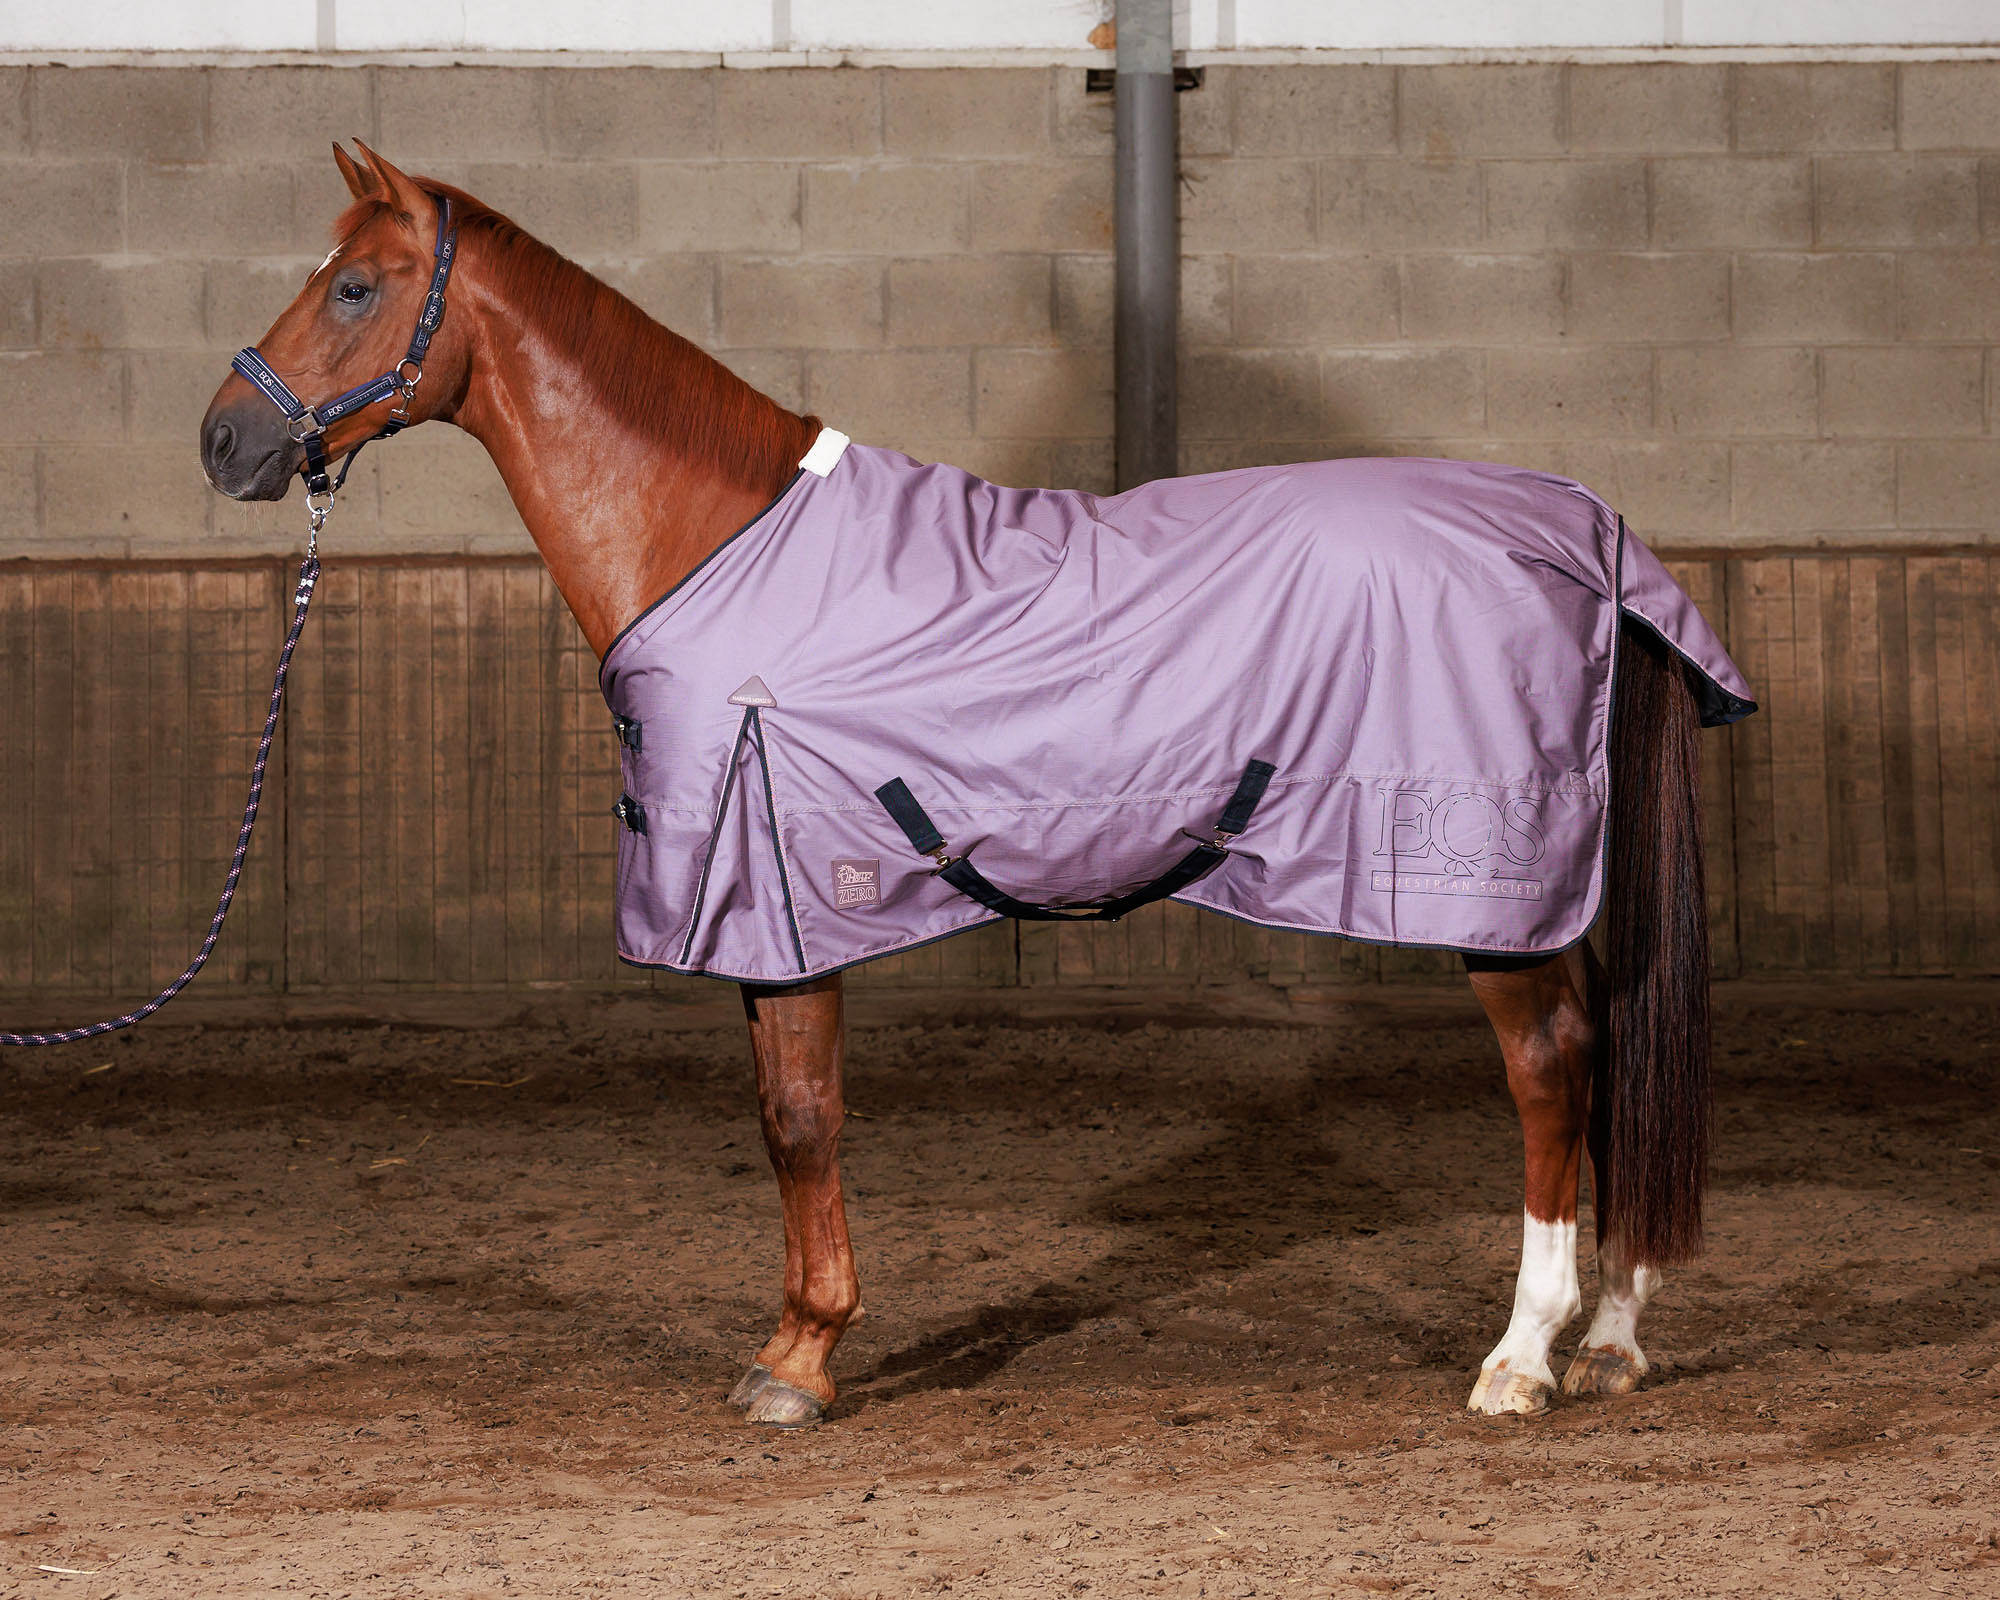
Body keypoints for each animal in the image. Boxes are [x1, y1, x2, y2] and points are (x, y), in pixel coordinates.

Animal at [201, 142, 1746, 1429]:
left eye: (352, 284)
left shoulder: (786, 898)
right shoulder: (775, 914)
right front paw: (792, 1343)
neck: (715, 540)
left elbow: (801, 1120)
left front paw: (803, 1362)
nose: (224, 441)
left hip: (1488, 891)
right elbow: (783, 1118)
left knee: (1552, 1071)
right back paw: (1612, 1340)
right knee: (1609, 1050)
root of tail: (1578, 528)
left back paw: (1520, 1357)